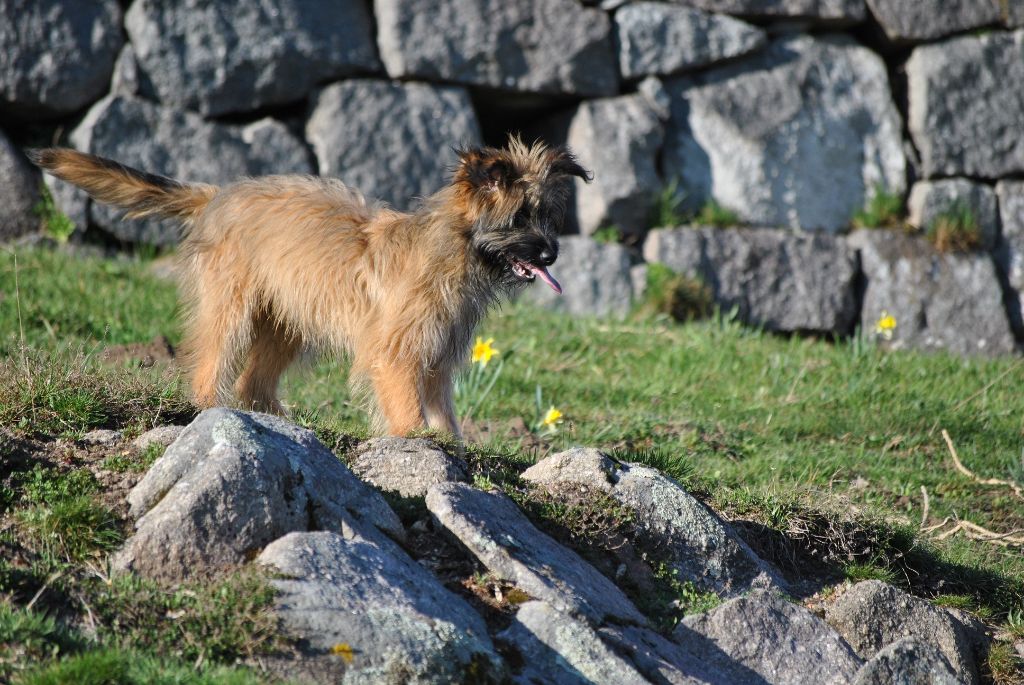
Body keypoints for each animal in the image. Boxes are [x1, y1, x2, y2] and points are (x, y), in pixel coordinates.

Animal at [29, 139, 593, 436]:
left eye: (547, 215)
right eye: (520, 218)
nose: (552, 254)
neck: (450, 250)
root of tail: (219, 193)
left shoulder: (434, 355)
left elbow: (442, 413)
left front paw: (449, 446)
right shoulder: (397, 354)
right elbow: (408, 410)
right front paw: (415, 442)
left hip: (285, 322)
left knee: (253, 383)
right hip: (232, 307)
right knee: (213, 364)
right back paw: (211, 408)